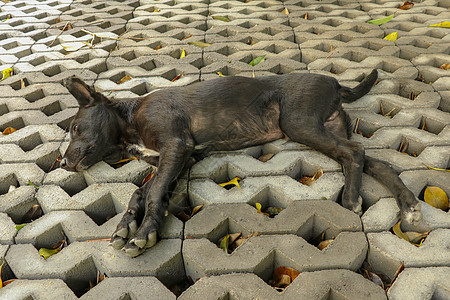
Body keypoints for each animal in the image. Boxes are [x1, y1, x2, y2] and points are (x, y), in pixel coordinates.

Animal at [59, 69, 422, 256]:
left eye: (75, 128)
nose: (62, 164)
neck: (129, 118)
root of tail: (334, 82)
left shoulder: (176, 146)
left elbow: (153, 194)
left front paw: (145, 232)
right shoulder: (179, 157)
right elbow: (142, 193)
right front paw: (125, 226)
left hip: (299, 123)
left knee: (354, 153)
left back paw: (351, 197)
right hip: (326, 126)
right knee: (372, 161)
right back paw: (408, 205)